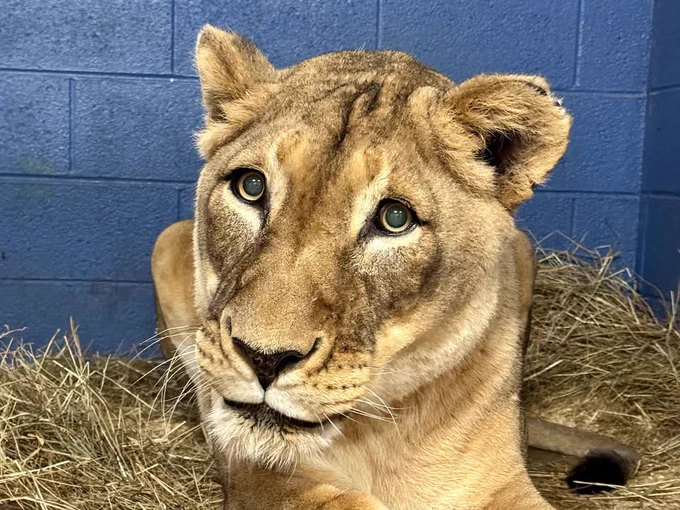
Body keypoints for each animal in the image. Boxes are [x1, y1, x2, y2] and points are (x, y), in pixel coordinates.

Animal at [151, 26, 639, 509]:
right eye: (250, 187)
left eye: (395, 219)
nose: (264, 358)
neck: (382, 433)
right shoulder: (264, 479)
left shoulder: (503, 484)